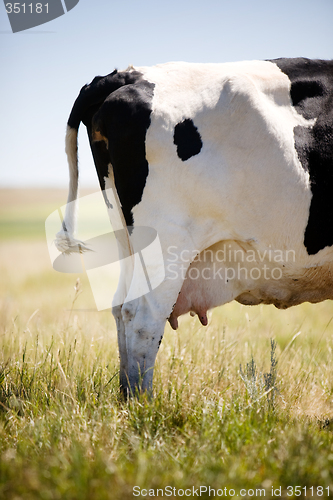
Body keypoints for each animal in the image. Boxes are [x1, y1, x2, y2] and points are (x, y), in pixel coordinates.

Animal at [55, 57, 332, 394]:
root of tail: (128, 74)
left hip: (127, 238)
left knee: (121, 308)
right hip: (167, 242)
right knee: (142, 316)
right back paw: (141, 401)